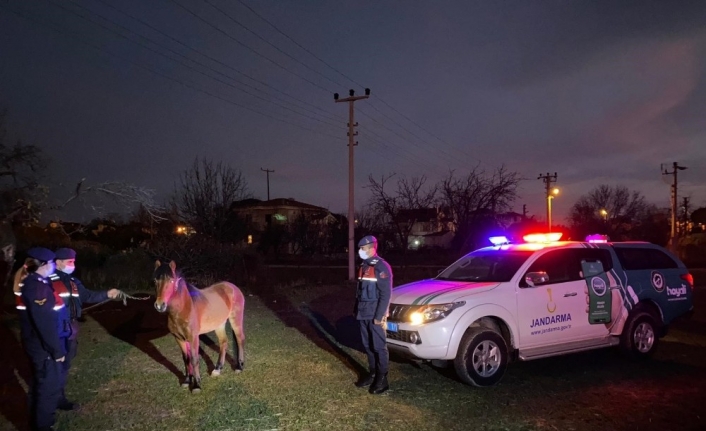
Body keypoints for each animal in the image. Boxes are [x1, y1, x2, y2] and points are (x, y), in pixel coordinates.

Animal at [152, 262, 245, 394]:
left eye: (171, 280)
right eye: (155, 280)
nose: (159, 305)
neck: (183, 309)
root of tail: (232, 287)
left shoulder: (193, 338)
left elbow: (194, 359)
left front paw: (196, 385)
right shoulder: (179, 339)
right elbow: (186, 359)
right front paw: (187, 381)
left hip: (235, 319)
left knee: (240, 339)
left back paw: (239, 367)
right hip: (219, 324)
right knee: (223, 342)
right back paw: (217, 369)